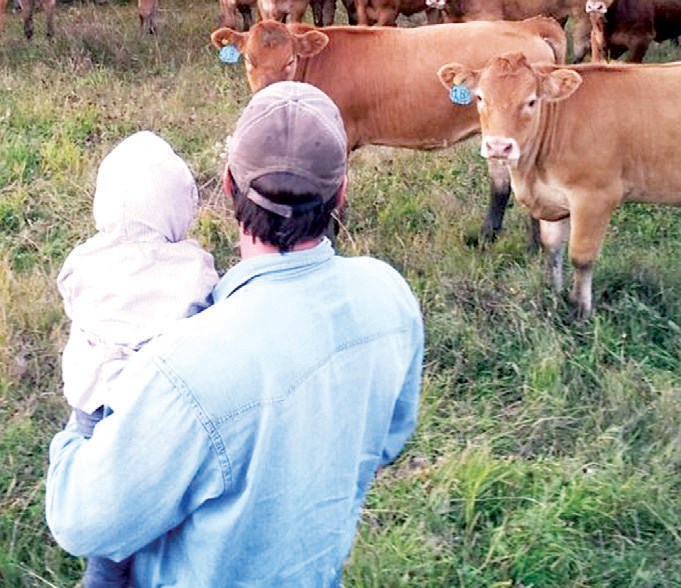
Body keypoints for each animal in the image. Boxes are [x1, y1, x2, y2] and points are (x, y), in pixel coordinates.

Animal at [436, 53, 680, 320]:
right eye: (480, 97)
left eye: (531, 101)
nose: (499, 147)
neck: (532, 173)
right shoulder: (552, 199)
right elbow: (552, 248)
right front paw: (552, 294)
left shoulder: (595, 197)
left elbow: (581, 256)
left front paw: (580, 310)